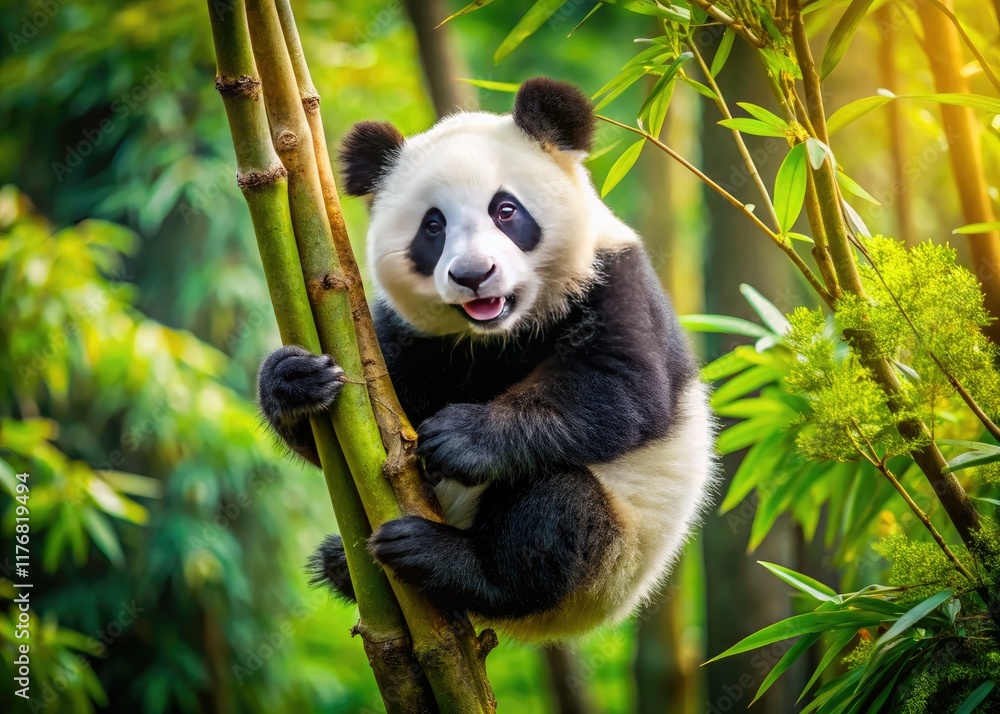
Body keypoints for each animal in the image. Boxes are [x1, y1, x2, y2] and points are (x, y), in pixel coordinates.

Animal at [257, 77, 715, 642]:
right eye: (433, 226)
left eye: (506, 210)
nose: (474, 275)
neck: (500, 333)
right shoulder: (416, 338)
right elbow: (363, 431)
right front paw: (296, 381)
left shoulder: (615, 283)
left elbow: (621, 392)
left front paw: (459, 437)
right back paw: (342, 564)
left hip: (615, 556)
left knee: (553, 512)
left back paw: (446, 559)